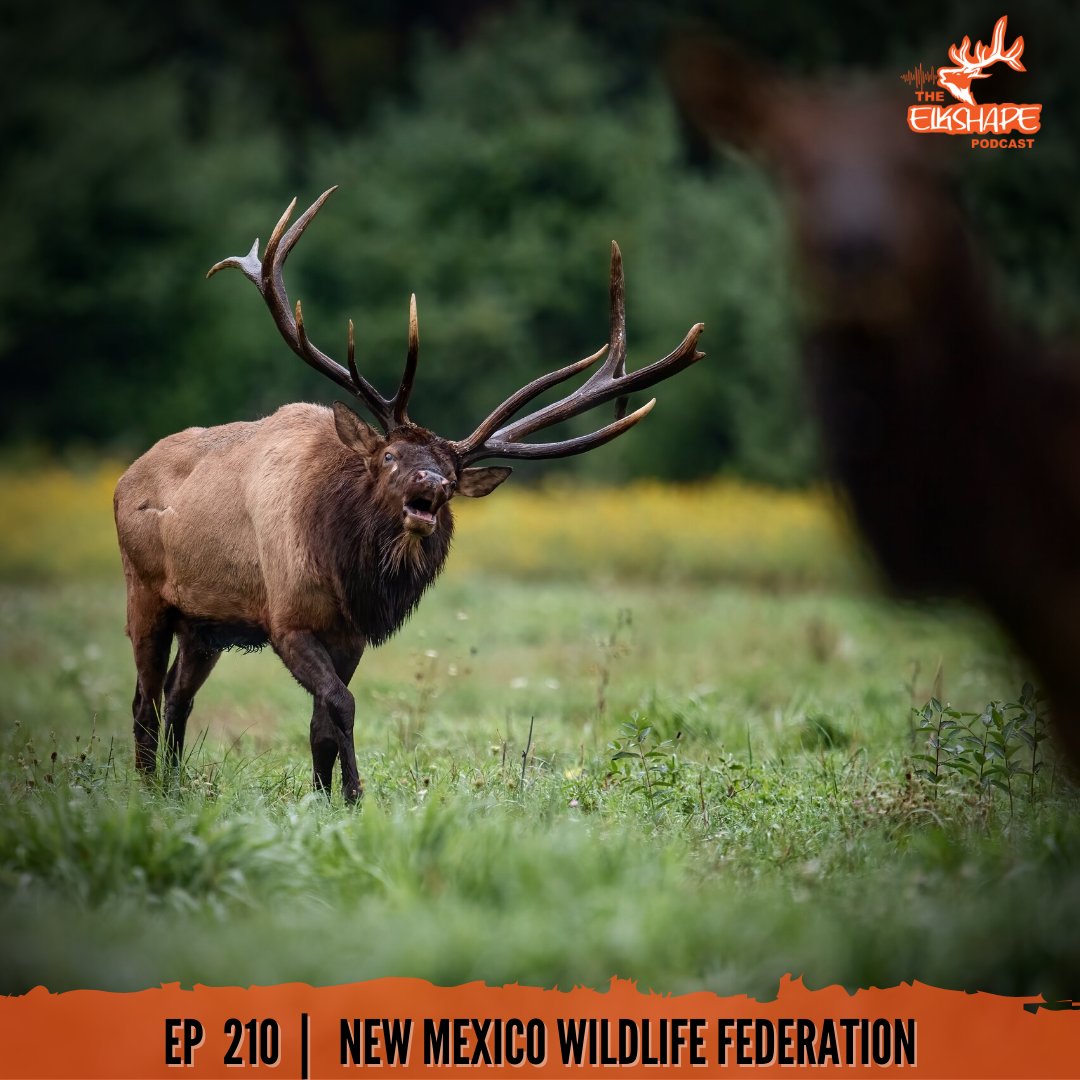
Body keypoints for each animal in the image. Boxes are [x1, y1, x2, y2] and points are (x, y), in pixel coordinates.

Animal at [114, 187, 705, 801]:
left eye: (452, 472)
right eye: (390, 457)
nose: (434, 484)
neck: (345, 569)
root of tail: (126, 476)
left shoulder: (349, 635)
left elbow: (322, 722)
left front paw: (323, 796)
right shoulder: (286, 618)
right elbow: (342, 705)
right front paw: (354, 795)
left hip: (204, 625)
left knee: (179, 696)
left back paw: (174, 781)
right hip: (145, 593)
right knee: (144, 698)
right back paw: (148, 785)